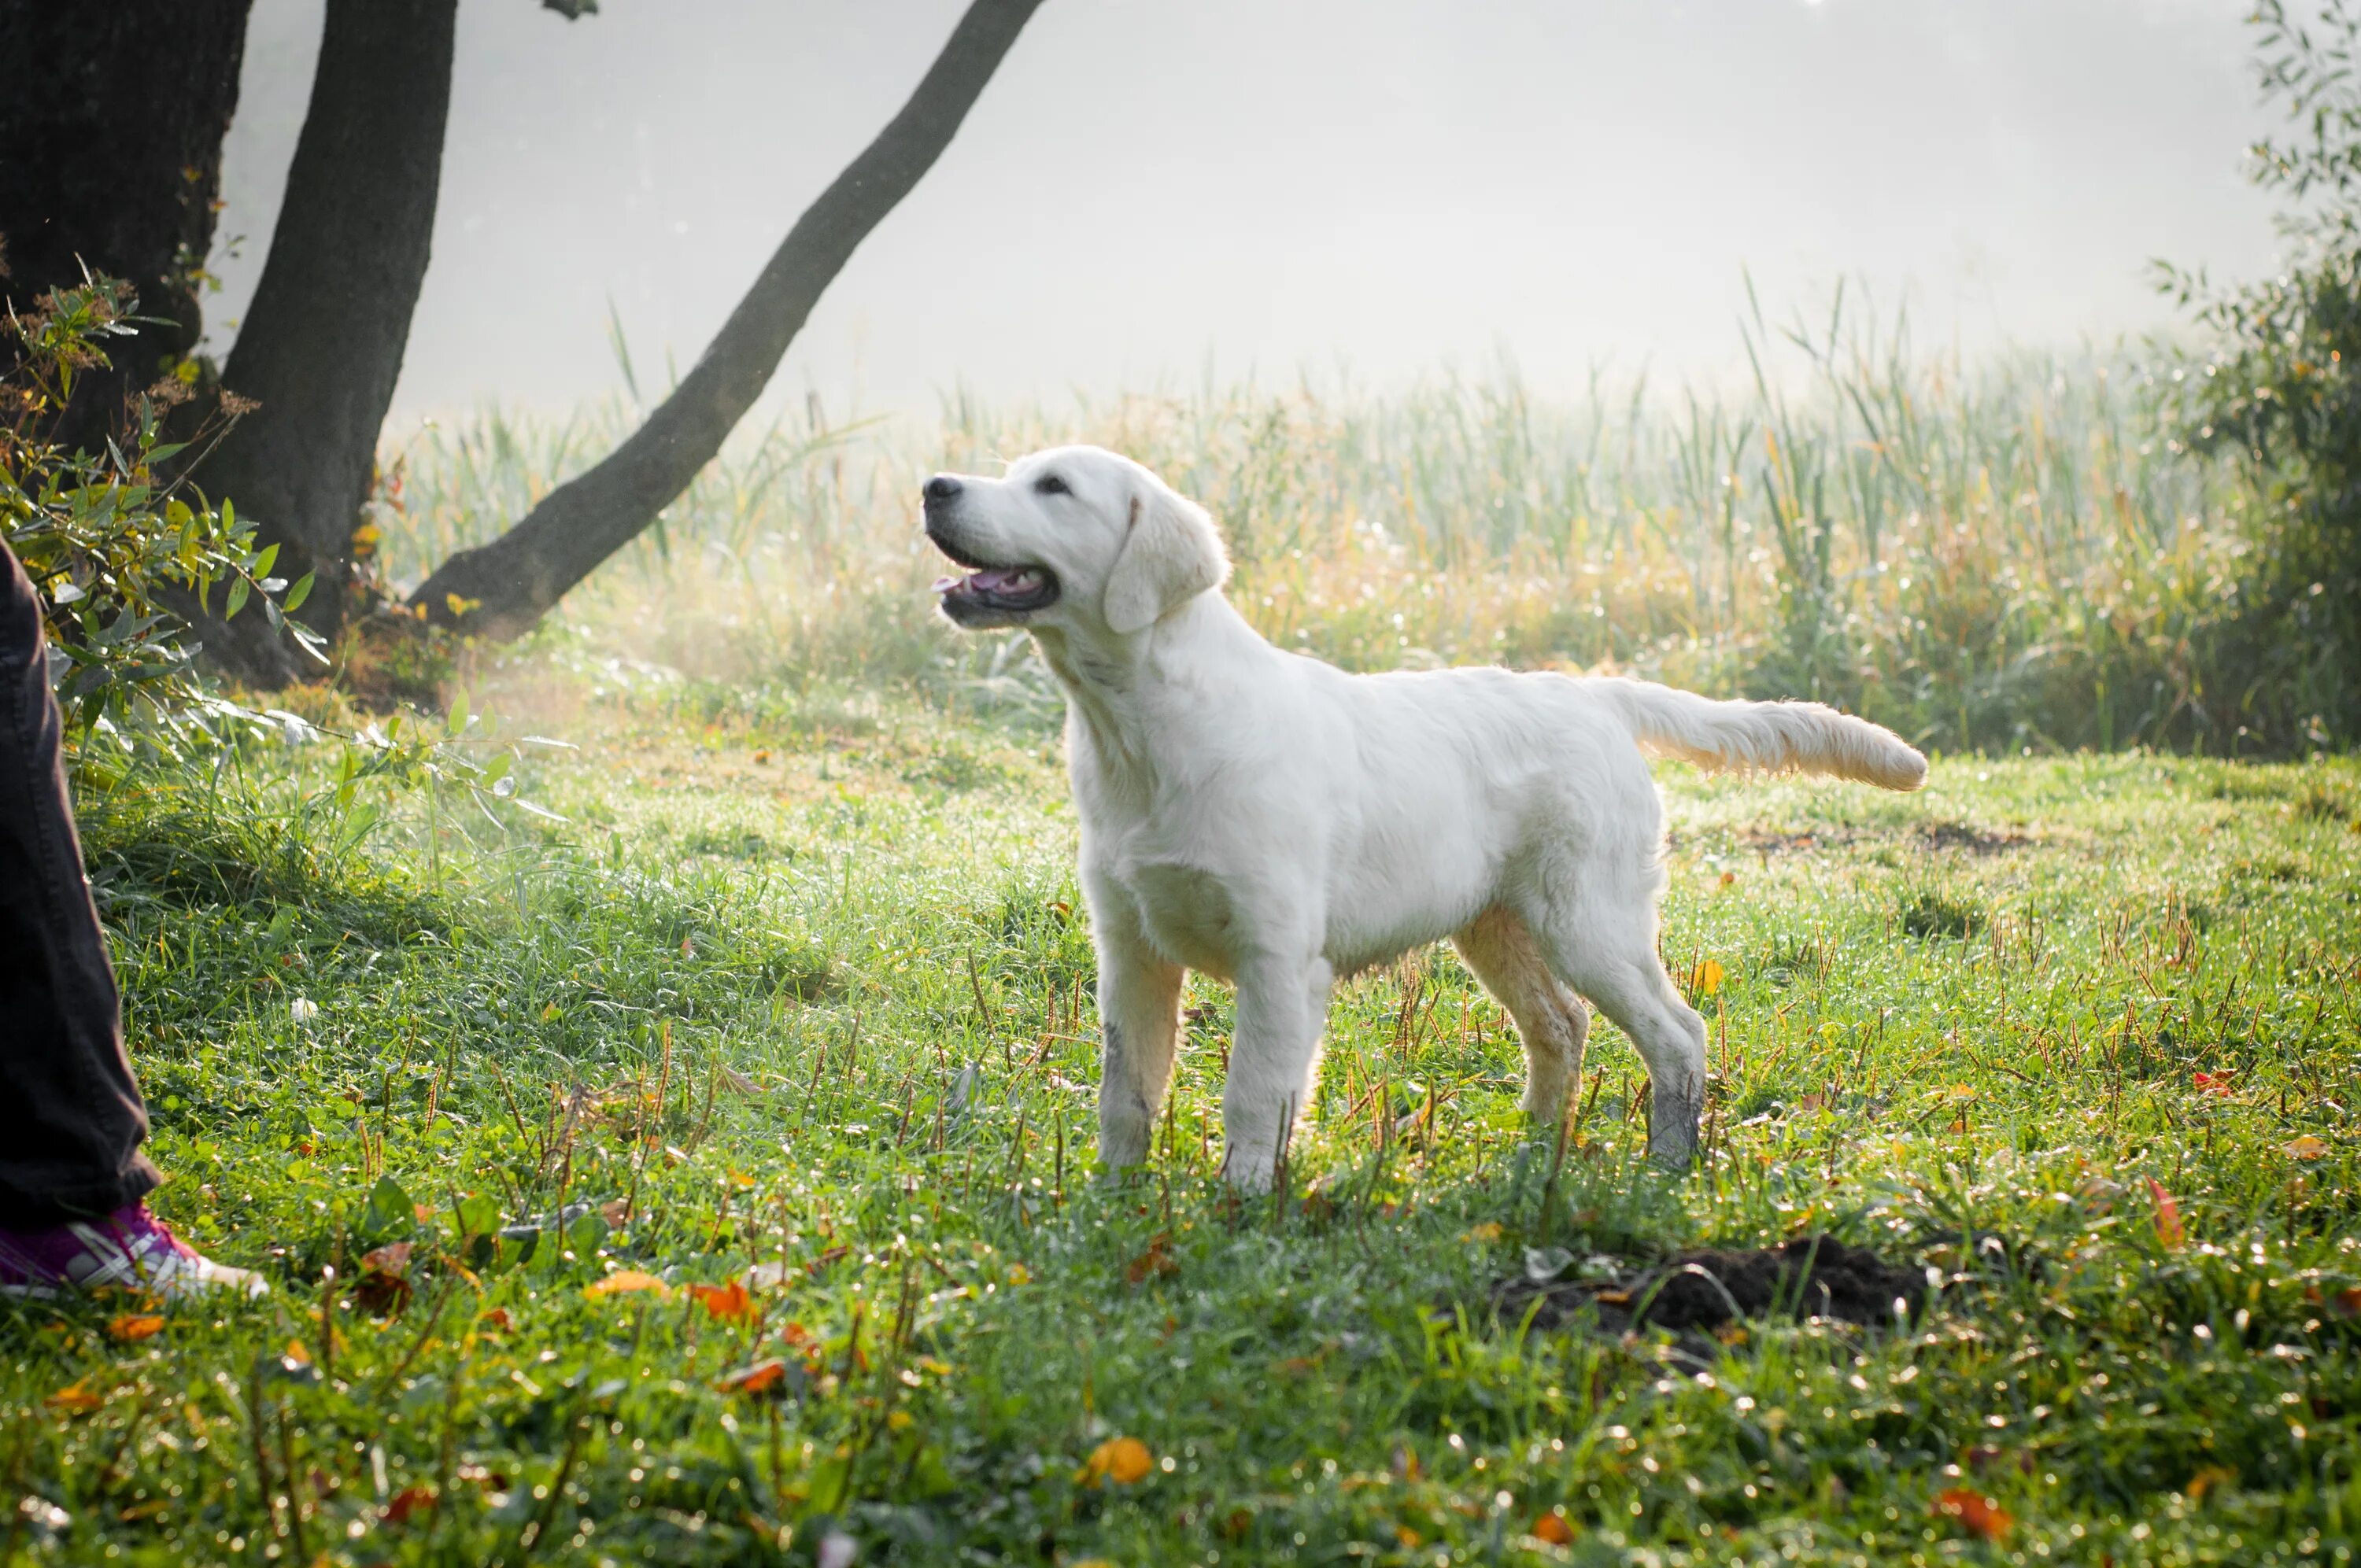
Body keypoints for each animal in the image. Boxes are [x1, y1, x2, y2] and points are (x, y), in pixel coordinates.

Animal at [916, 446, 1917, 1194]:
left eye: (1054, 487)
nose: (932, 485)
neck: (1140, 729)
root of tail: (1596, 695)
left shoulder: (1279, 958)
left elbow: (1252, 1092)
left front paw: (1242, 1201)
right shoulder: (1131, 950)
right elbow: (1126, 1092)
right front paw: (1112, 1200)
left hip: (1589, 919)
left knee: (1678, 1033)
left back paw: (1668, 1159)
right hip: (1495, 923)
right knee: (1562, 1026)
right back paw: (1533, 1142)